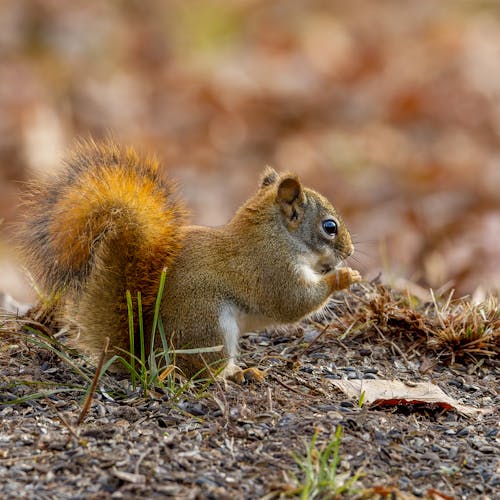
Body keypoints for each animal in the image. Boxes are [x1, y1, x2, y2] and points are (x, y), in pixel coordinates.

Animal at [19, 139, 362, 380]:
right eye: (329, 227)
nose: (349, 252)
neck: (277, 235)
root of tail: (145, 358)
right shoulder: (271, 268)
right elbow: (293, 302)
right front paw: (342, 277)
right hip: (209, 327)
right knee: (197, 372)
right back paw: (228, 376)